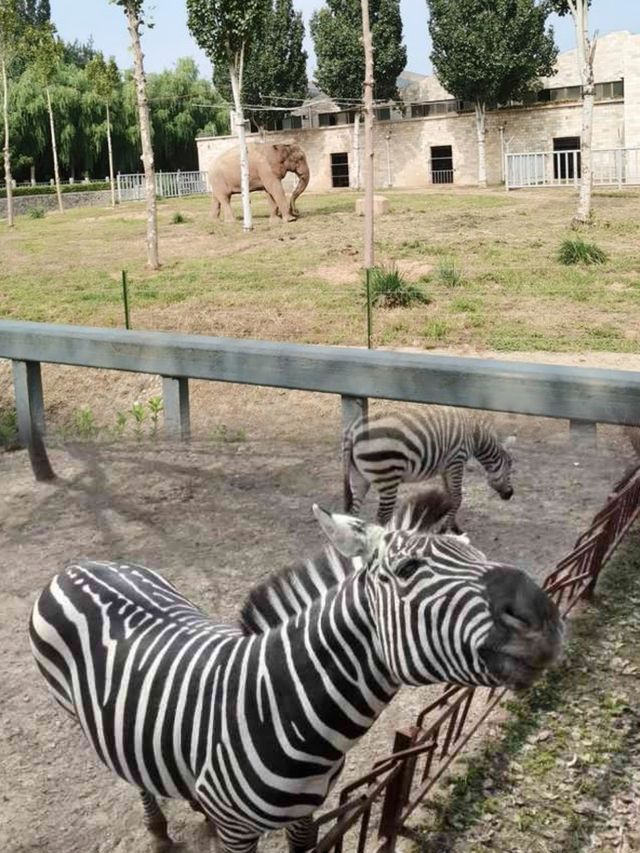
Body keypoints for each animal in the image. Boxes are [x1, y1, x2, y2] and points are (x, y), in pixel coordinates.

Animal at [30, 490, 560, 848]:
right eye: (407, 570)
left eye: (478, 551)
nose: (544, 617)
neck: (287, 709)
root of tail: (79, 565)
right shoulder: (240, 834)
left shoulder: (309, 810)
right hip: (76, 713)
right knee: (131, 774)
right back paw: (159, 830)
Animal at [342, 402, 516, 528]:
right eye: (510, 467)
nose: (510, 494)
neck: (474, 436)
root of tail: (353, 431)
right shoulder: (456, 460)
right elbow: (457, 498)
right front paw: (444, 529)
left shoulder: (446, 467)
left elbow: (450, 497)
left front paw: (453, 527)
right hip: (388, 476)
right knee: (383, 516)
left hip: (358, 476)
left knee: (353, 512)